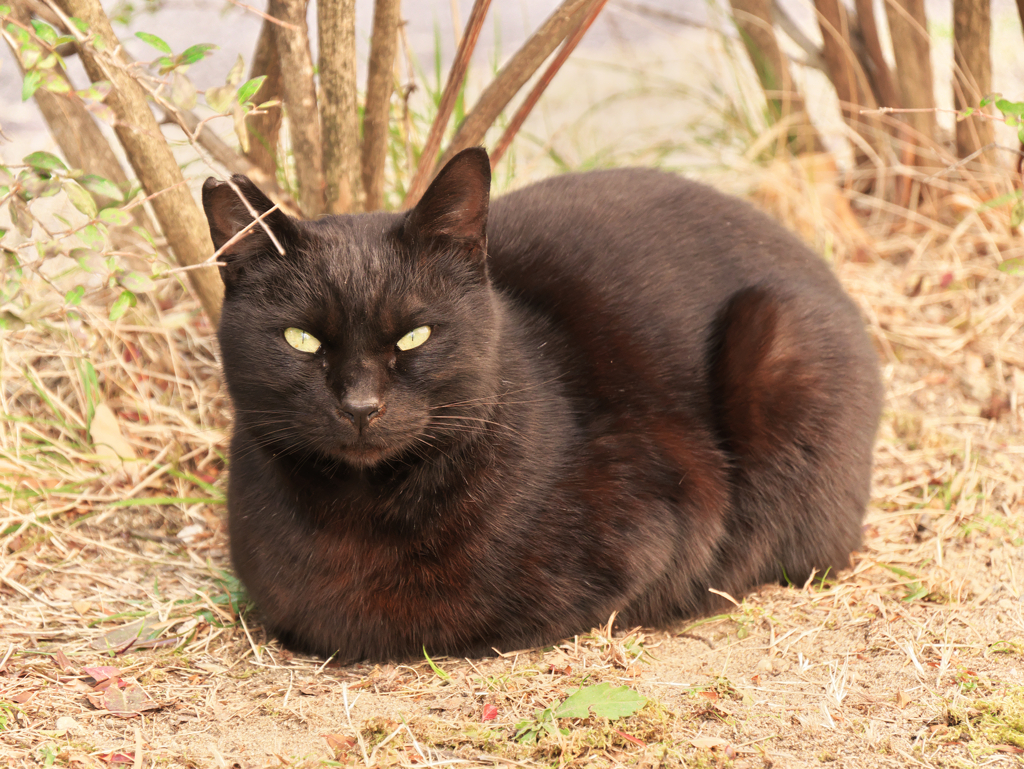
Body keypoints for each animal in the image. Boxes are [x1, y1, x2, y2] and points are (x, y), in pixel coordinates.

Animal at [203, 148, 884, 663]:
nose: (361, 406)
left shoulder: (664, 518)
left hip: (777, 337)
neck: (362, 511)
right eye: (301, 340)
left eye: (415, 336)